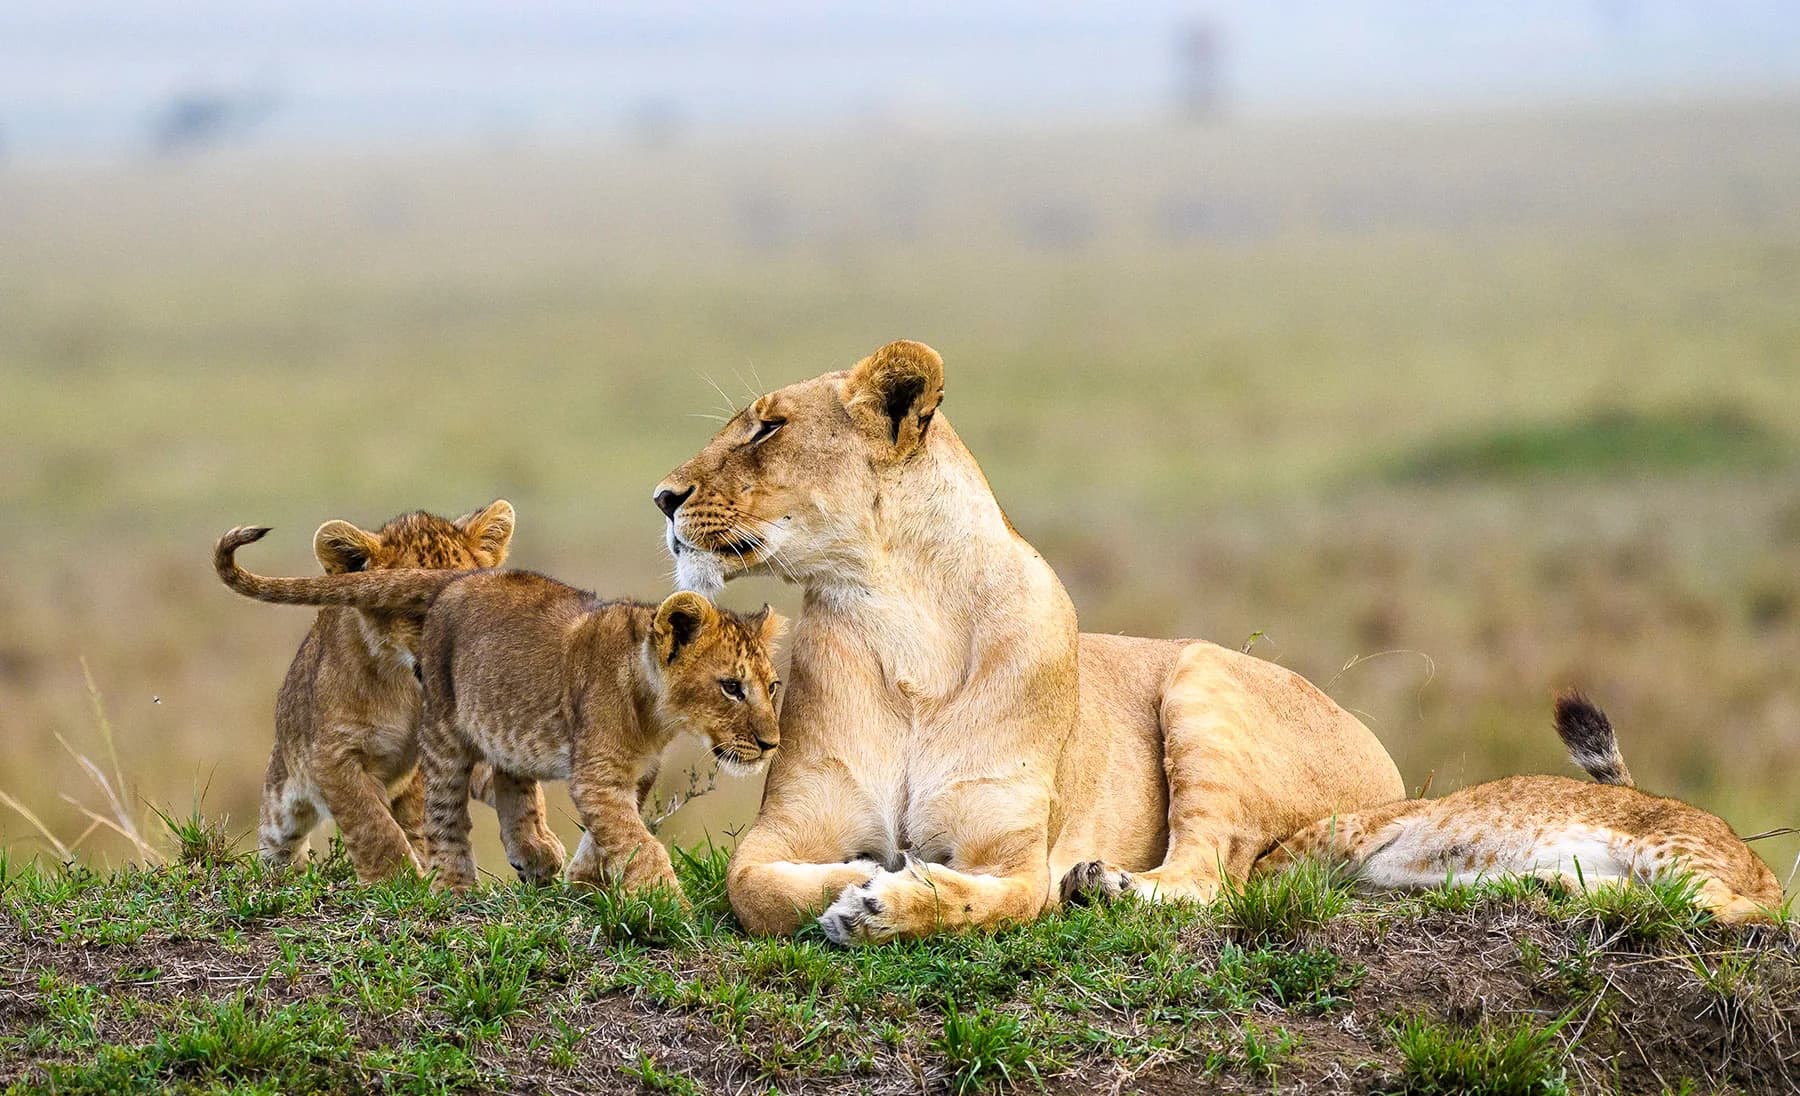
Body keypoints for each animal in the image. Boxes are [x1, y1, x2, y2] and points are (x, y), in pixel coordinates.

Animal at [210, 546, 782, 896]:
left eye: (772, 686)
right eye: (731, 687)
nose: (772, 743)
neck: (656, 714)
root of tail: (461, 577)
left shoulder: (636, 775)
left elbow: (611, 835)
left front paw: (584, 883)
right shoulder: (597, 775)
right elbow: (639, 842)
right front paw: (667, 903)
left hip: (506, 727)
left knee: (514, 793)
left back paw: (534, 856)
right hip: (442, 730)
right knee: (443, 817)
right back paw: (454, 888)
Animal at [212, 502, 549, 882]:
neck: (405, 684)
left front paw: (536, 846)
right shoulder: (333, 756)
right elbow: (372, 825)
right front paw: (399, 880)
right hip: (281, 798)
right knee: (280, 844)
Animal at [652, 339, 1405, 943]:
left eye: (769, 428)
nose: (662, 496)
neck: (905, 622)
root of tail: (1389, 773)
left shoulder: (1016, 853)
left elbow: (996, 901)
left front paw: (883, 904)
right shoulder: (782, 827)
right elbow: (754, 887)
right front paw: (862, 873)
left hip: (1201, 674)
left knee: (1210, 873)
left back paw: (1108, 886)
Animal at [1257, 692, 1784, 923]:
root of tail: (1766, 871)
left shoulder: (1352, 831)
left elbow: (1268, 876)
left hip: (1667, 849)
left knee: (1726, 906)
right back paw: (1551, 883)